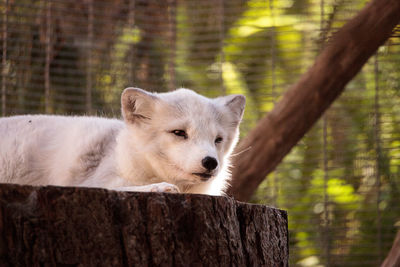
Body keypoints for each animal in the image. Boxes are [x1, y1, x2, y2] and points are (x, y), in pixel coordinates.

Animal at [0, 89, 244, 196]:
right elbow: (121, 187)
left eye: (218, 139)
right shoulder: (92, 182)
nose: (210, 162)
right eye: (179, 133)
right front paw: (160, 187)